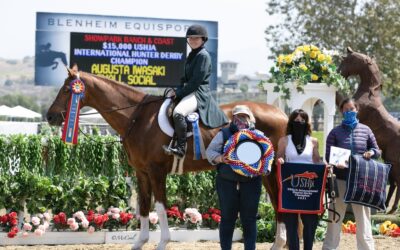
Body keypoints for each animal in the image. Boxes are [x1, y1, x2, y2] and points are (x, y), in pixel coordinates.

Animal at [47, 68, 288, 250]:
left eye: (67, 89)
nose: (50, 116)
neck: (136, 117)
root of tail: (281, 114)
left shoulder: (156, 172)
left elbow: (161, 207)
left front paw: (162, 243)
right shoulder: (142, 172)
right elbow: (144, 206)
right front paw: (140, 242)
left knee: (278, 200)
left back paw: (279, 243)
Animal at [340, 47, 400, 214]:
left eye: (348, 60)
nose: (340, 72)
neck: (368, 93)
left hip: (394, 161)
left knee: (398, 183)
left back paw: (392, 209)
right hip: (389, 160)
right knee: (393, 183)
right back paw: (384, 208)